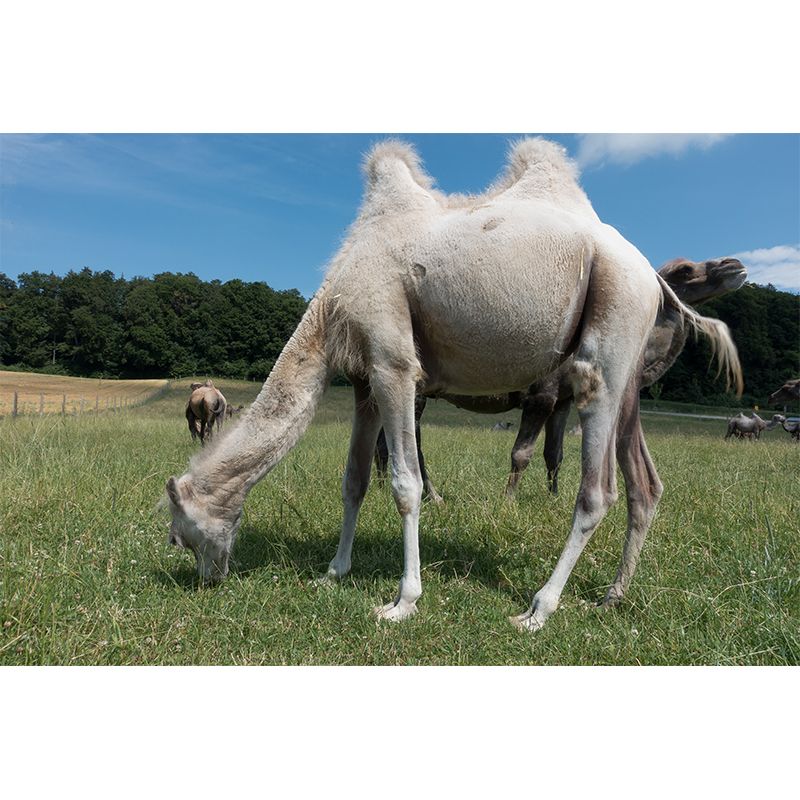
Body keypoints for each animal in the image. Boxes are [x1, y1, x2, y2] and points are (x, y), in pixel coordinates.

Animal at [165, 138, 741, 632]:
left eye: (179, 533)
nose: (206, 580)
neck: (331, 310)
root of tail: (655, 278)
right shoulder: (363, 381)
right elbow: (354, 479)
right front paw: (334, 571)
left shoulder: (394, 362)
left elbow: (405, 483)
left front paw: (403, 602)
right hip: (626, 371)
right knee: (644, 483)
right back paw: (612, 595)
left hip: (612, 322)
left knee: (598, 487)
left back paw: (539, 609)